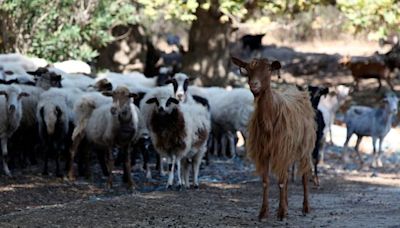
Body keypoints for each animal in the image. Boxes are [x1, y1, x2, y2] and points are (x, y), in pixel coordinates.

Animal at [231, 56, 316, 221]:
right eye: (248, 69)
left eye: (269, 69)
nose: (254, 85)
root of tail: (297, 90)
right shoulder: (264, 151)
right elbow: (266, 181)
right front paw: (264, 212)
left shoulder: (280, 149)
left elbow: (281, 181)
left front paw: (281, 213)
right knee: (287, 174)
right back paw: (288, 206)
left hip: (304, 147)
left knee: (304, 174)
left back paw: (306, 208)